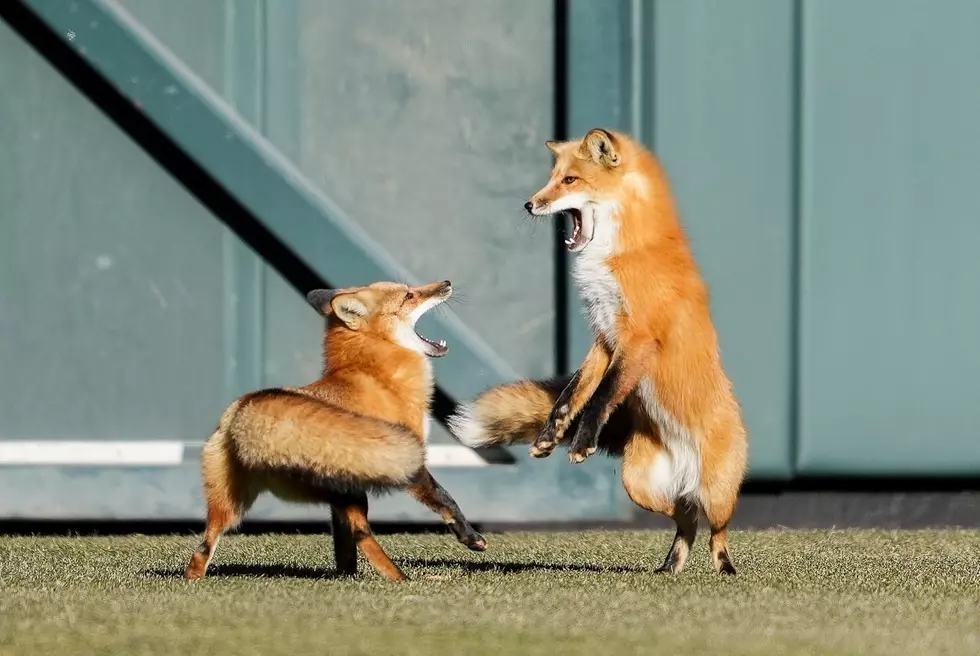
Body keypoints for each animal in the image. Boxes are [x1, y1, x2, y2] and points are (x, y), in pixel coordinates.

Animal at [185, 280, 486, 580]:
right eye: (409, 295)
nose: (446, 283)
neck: (378, 374)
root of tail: (240, 407)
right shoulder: (408, 458)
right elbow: (445, 498)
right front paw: (471, 538)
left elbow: (343, 540)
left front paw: (346, 572)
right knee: (363, 533)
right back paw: (400, 579)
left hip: (234, 503)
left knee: (202, 548)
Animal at [448, 128, 748, 576]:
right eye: (552, 177)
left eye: (570, 180)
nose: (529, 204)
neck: (625, 251)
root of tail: (687, 473)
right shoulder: (604, 338)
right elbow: (573, 393)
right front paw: (550, 436)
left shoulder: (638, 340)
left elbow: (602, 395)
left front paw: (582, 441)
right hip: (640, 487)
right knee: (686, 519)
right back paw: (671, 565)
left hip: (717, 492)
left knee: (717, 530)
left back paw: (725, 568)